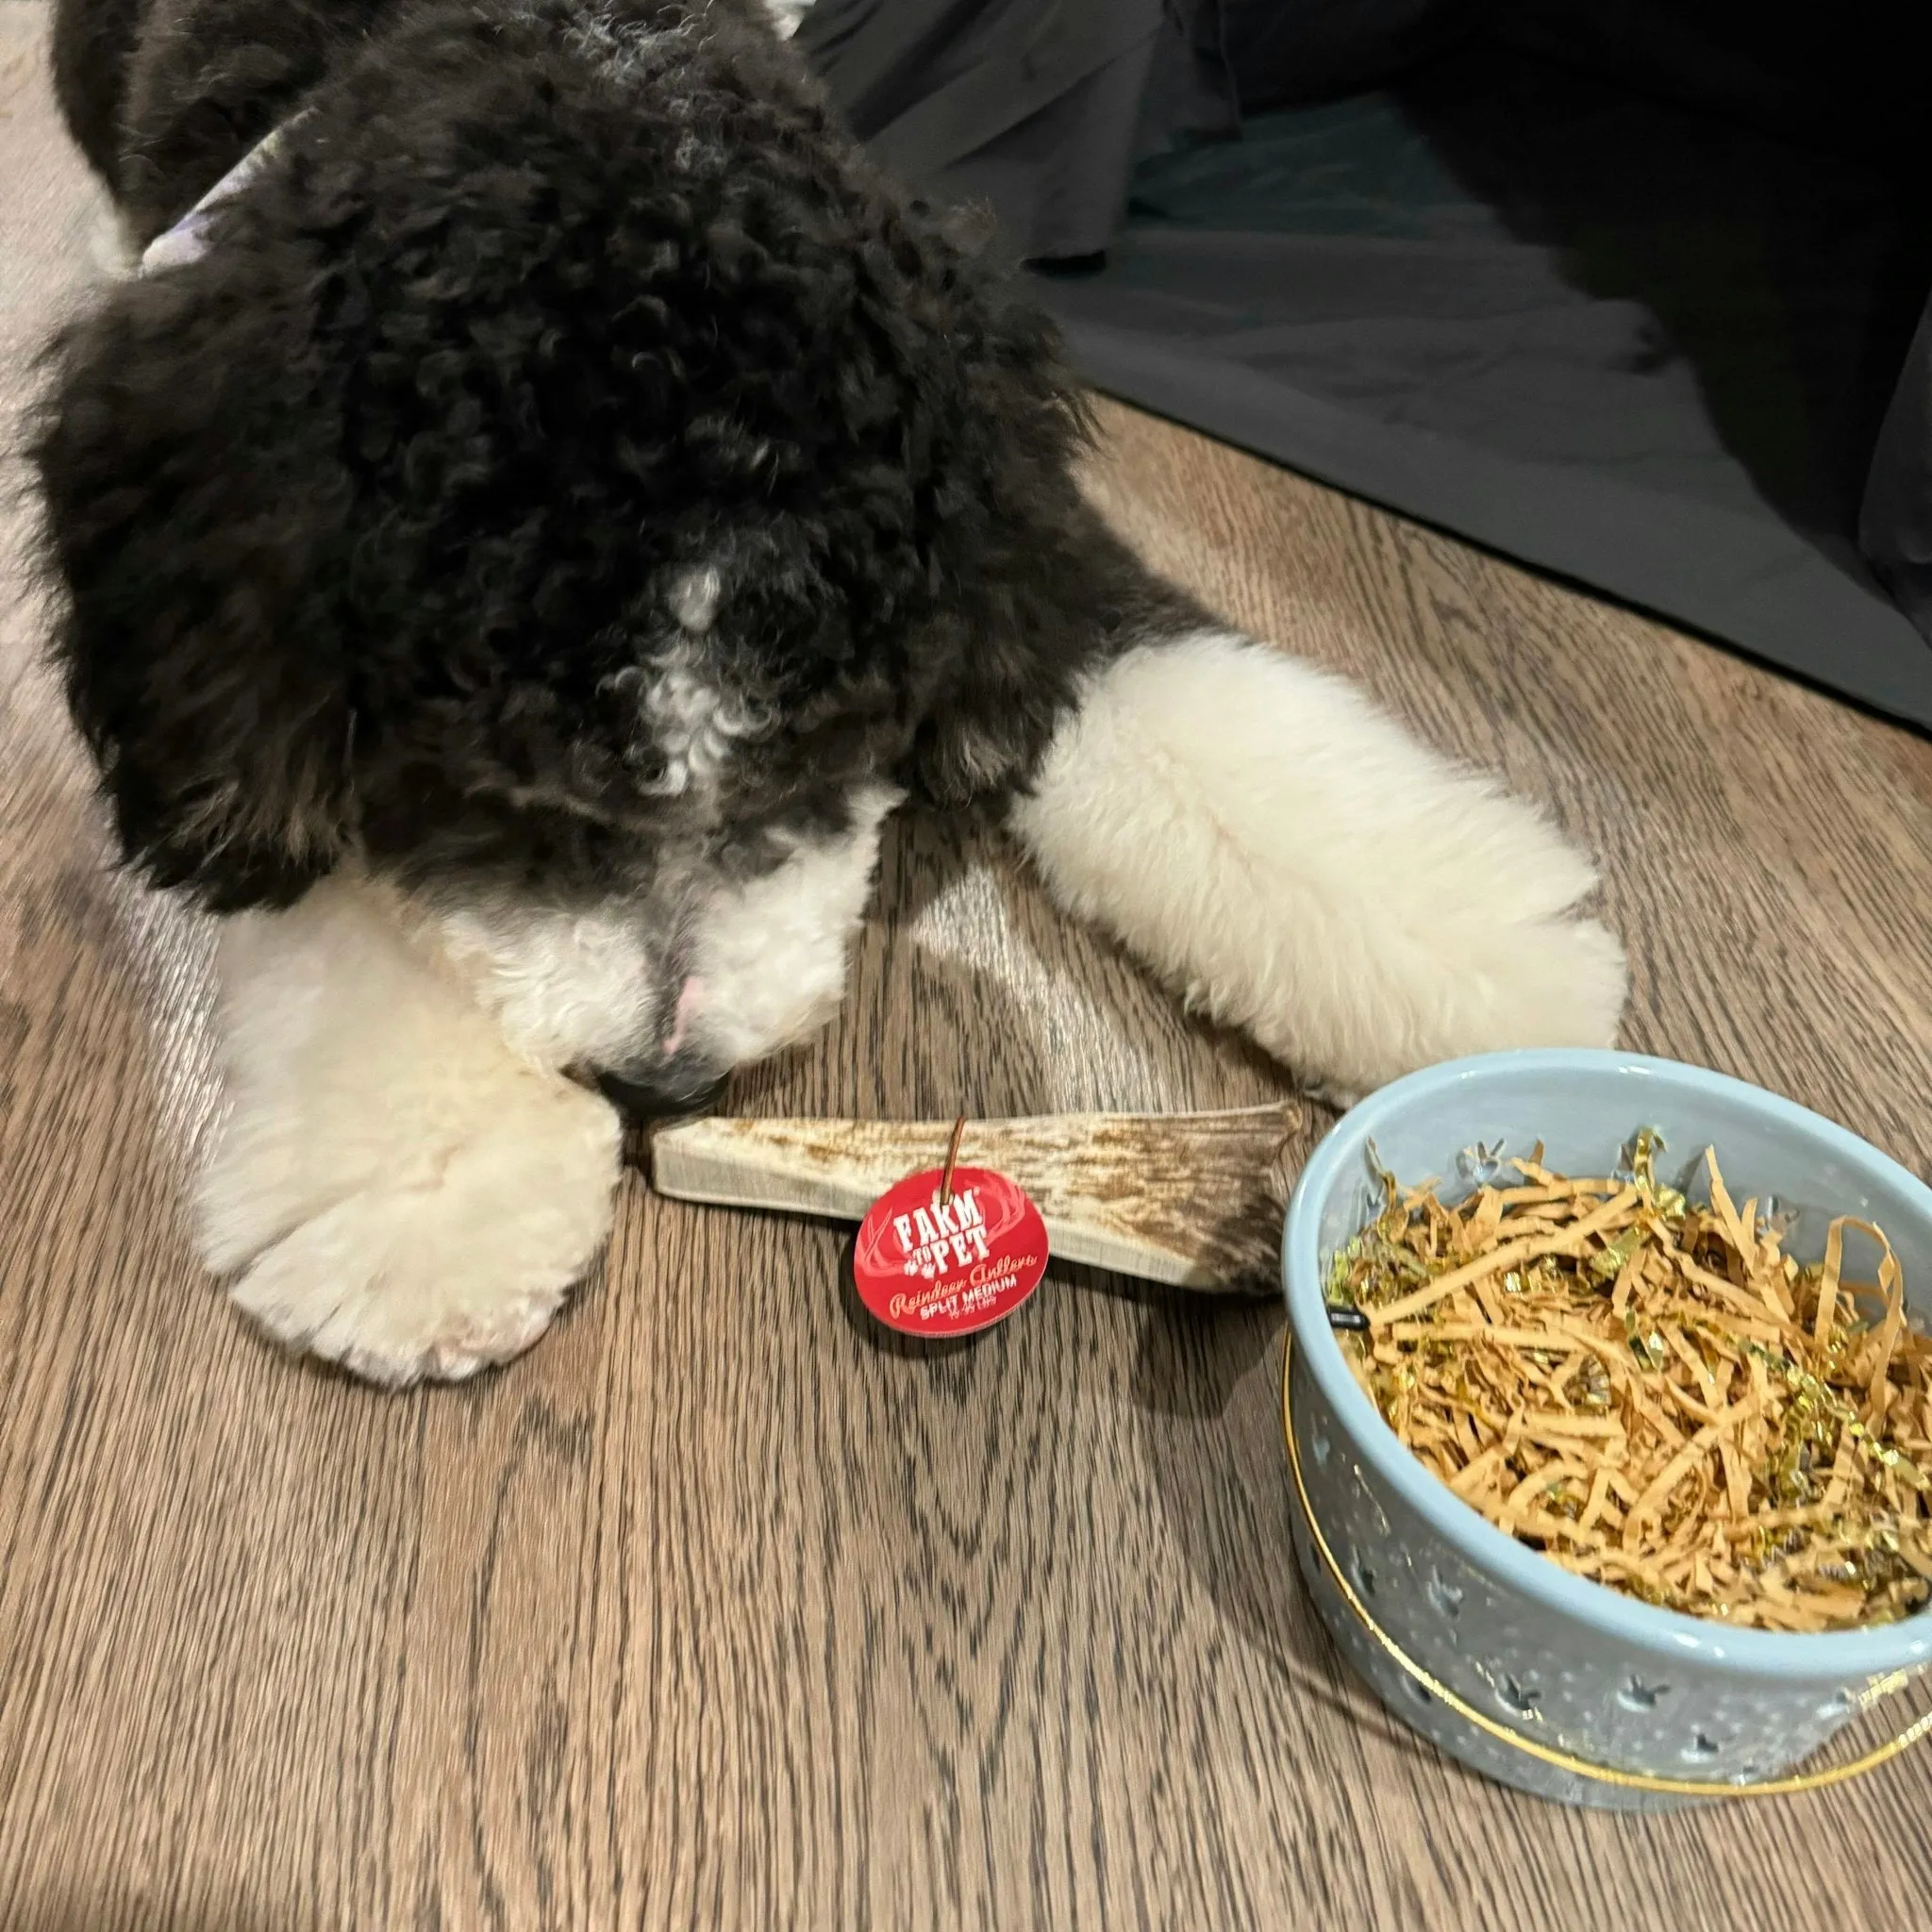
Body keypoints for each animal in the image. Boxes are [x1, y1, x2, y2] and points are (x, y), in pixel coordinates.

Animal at [37, 4, 1623, 1391]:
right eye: (497, 796)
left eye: (818, 758)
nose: (665, 1081)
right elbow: (331, 888)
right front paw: (425, 1192)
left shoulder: (1008, 516)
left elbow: (1141, 675)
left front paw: (1472, 946)